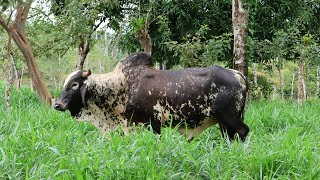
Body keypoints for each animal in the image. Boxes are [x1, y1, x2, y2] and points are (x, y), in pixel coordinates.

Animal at [55, 52, 250, 141]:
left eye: (74, 84)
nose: (57, 104)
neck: (119, 86)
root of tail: (236, 73)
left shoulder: (148, 123)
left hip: (230, 117)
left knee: (243, 131)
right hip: (223, 122)